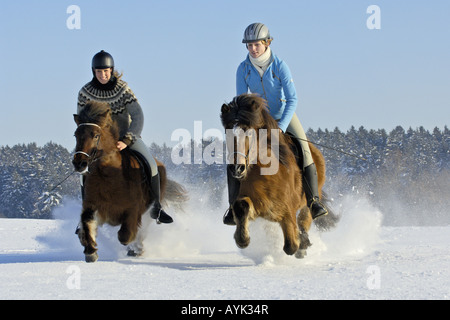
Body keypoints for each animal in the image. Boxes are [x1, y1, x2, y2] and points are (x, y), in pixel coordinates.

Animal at [72, 100, 188, 262]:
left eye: (95, 135)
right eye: (76, 135)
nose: (79, 163)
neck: (108, 176)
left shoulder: (133, 210)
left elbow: (125, 235)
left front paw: (133, 247)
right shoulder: (93, 206)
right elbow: (87, 224)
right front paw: (90, 250)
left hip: (151, 208)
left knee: (144, 227)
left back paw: (137, 249)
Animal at [221, 94, 334, 258]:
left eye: (249, 132)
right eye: (227, 132)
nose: (237, 168)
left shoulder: (287, 210)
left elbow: (291, 245)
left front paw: (300, 242)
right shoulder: (253, 202)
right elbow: (241, 206)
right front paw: (243, 238)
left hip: (311, 197)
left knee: (306, 216)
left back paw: (304, 243)